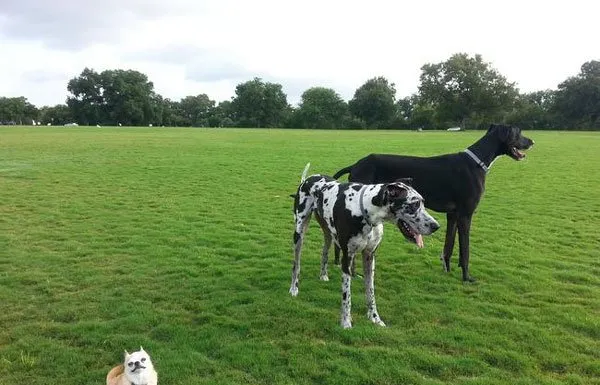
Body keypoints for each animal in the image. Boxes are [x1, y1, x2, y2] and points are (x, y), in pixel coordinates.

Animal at [288, 162, 438, 328]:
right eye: (413, 204)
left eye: (423, 202)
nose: (435, 226)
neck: (365, 211)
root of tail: (308, 179)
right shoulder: (347, 258)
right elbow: (346, 296)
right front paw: (346, 322)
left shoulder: (369, 256)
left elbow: (370, 291)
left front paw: (374, 318)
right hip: (299, 234)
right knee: (296, 264)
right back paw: (294, 288)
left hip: (328, 234)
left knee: (324, 251)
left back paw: (323, 274)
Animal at [332, 124, 536, 280]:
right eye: (518, 132)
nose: (532, 142)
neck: (476, 163)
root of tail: (356, 164)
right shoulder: (466, 215)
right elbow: (465, 249)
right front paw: (467, 277)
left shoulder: (453, 215)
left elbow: (449, 245)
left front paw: (447, 268)